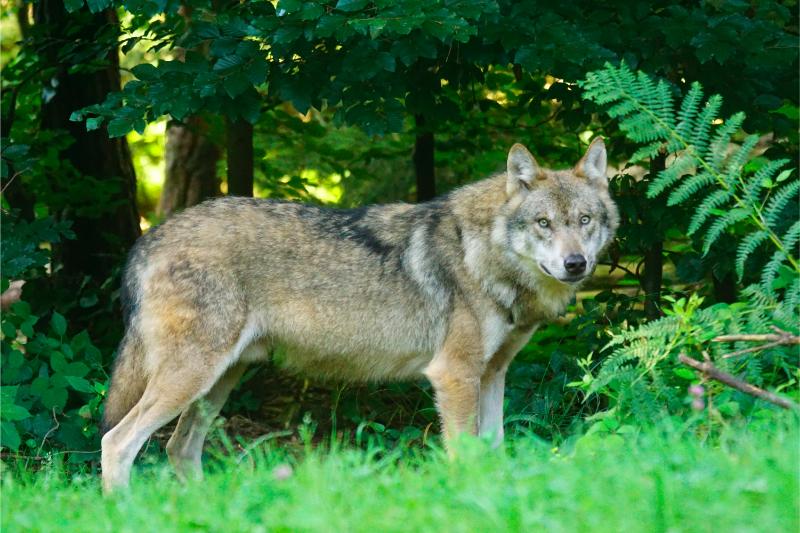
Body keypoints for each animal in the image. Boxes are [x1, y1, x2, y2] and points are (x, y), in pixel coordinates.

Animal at [101, 137, 620, 490]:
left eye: (584, 221)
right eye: (543, 224)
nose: (576, 264)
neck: (483, 254)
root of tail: (149, 238)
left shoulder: (493, 374)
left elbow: (494, 450)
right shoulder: (454, 375)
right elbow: (466, 455)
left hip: (218, 383)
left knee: (179, 448)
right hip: (192, 378)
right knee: (117, 442)